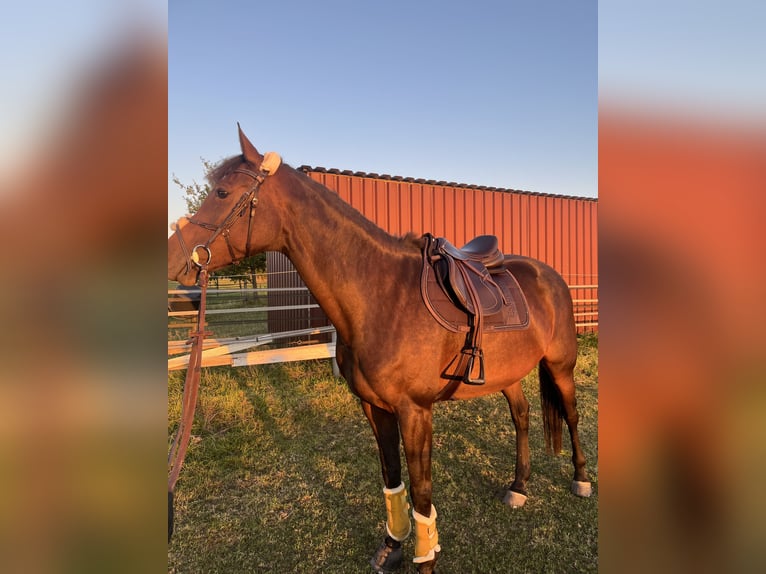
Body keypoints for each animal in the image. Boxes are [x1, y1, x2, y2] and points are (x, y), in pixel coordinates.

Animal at [168, 126, 591, 573]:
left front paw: (426, 560)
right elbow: (392, 478)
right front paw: (393, 547)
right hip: (507, 373)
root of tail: (549, 276)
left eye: (222, 193)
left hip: (561, 366)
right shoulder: (375, 407)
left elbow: (422, 489)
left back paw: (581, 479)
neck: (379, 297)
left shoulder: (415, 412)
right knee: (522, 417)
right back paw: (519, 485)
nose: (175, 258)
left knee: (572, 414)